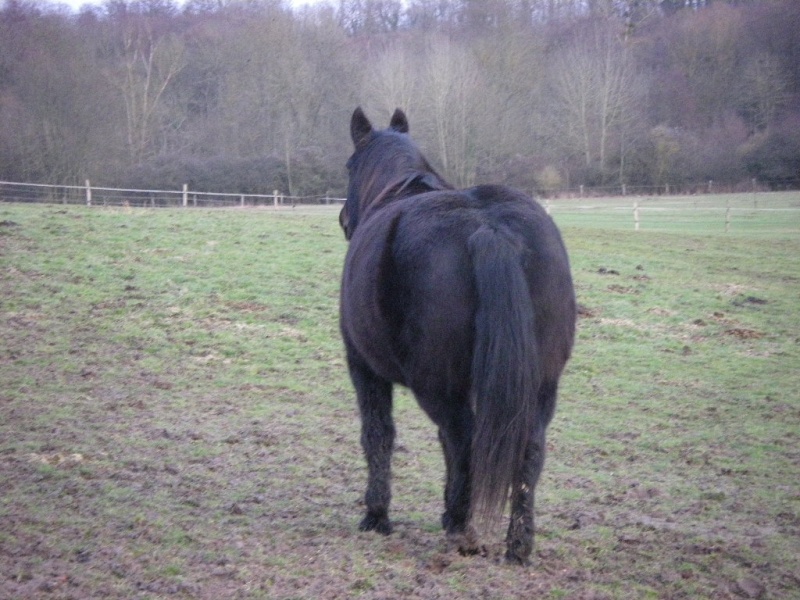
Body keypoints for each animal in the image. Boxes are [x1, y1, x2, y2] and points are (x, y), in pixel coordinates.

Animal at [338, 106, 576, 564]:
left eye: (349, 166)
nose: (343, 219)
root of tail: (489, 229)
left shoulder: (363, 367)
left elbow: (378, 435)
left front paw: (376, 516)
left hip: (437, 386)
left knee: (461, 440)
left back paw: (461, 528)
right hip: (540, 385)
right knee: (528, 449)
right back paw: (516, 545)